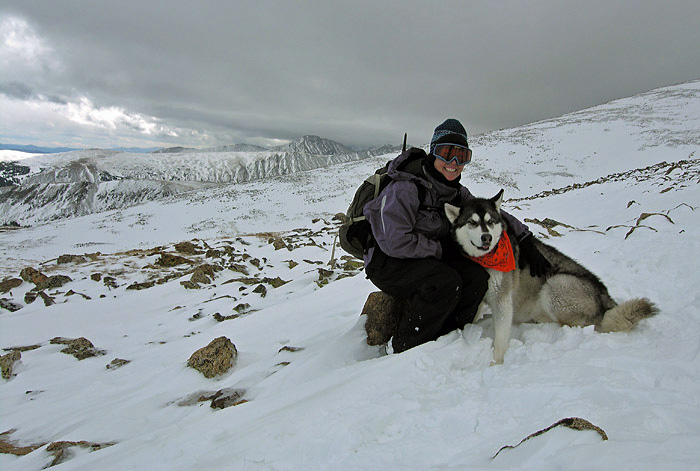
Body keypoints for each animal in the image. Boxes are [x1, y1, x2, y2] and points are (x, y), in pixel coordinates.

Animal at [446, 190, 660, 364]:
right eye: (472, 222)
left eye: (490, 222)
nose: (487, 238)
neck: (486, 261)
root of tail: (606, 298)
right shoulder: (483, 296)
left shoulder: (502, 299)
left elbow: (500, 339)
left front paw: (495, 364)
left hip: (556, 286)